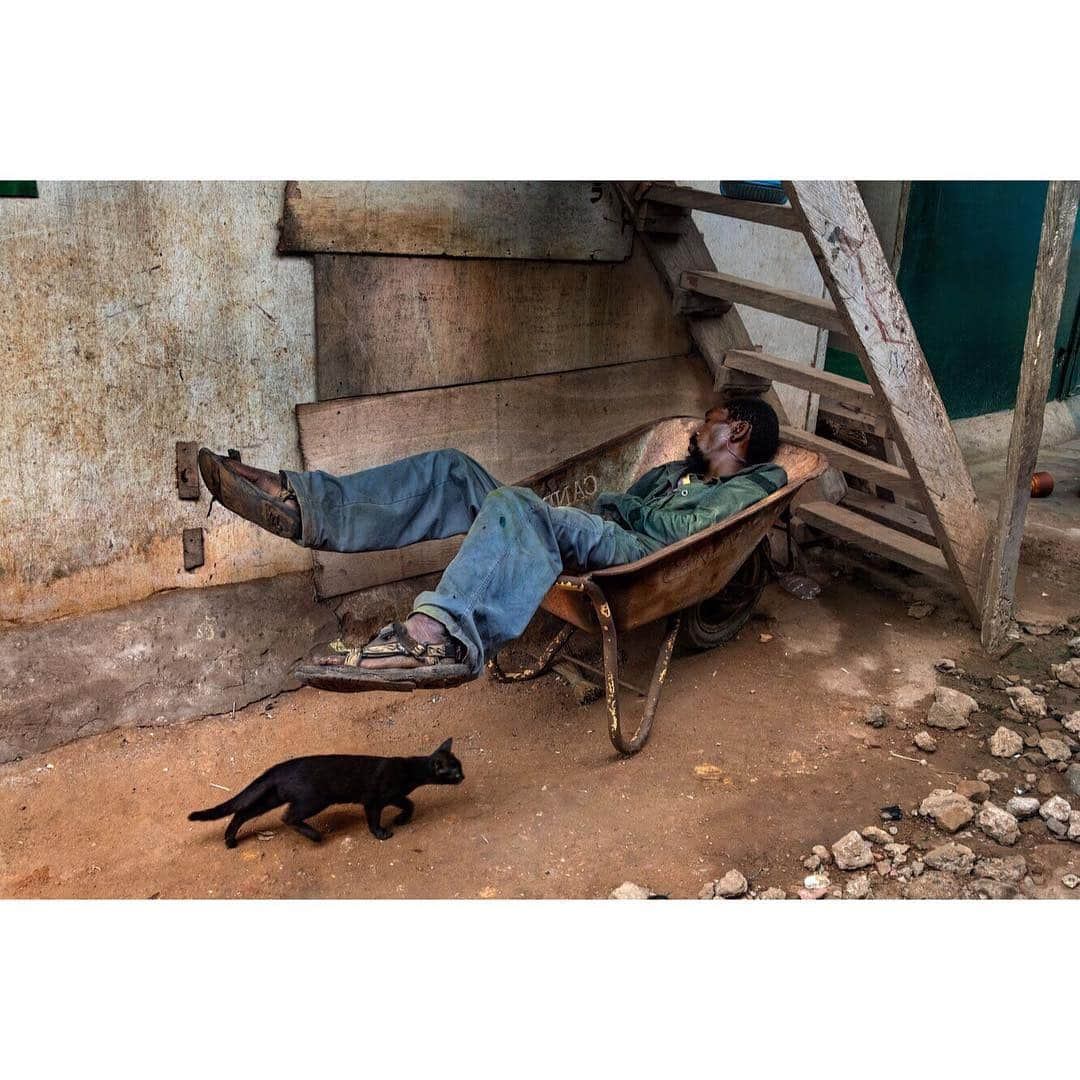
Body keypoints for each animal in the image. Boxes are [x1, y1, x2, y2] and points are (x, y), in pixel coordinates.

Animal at [187, 738, 462, 846]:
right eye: (455, 772)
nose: (464, 777)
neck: (410, 769)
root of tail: (283, 766)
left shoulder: (395, 796)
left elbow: (410, 804)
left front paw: (402, 819)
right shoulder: (374, 799)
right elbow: (374, 819)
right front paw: (382, 833)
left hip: (273, 796)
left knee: (242, 813)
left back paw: (230, 841)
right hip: (313, 799)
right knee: (287, 817)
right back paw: (314, 835)